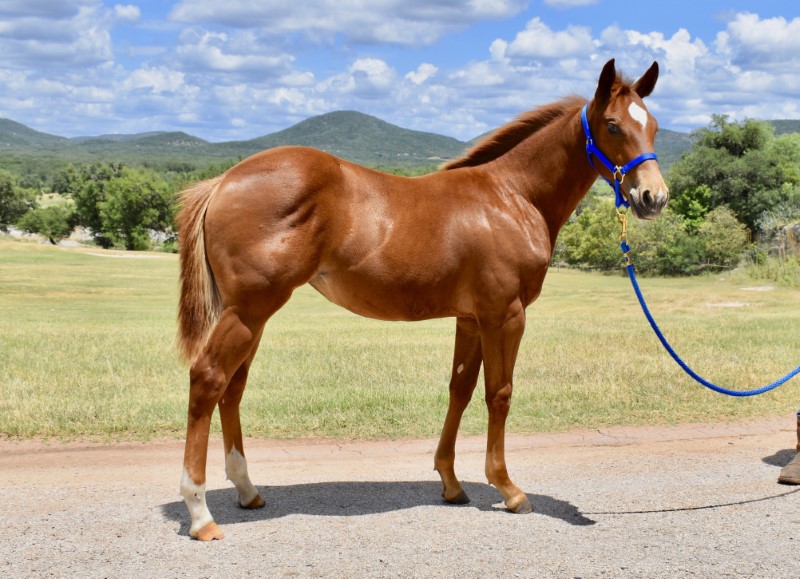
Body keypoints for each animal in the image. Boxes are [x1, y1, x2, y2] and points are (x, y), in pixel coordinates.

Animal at [177, 57, 668, 540]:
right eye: (612, 125)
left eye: (654, 126)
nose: (654, 197)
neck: (511, 197)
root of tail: (223, 181)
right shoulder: (504, 315)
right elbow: (499, 394)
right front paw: (508, 488)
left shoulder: (470, 319)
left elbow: (460, 390)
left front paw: (450, 482)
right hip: (249, 310)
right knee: (208, 379)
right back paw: (200, 513)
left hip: (252, 316)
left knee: (233, 388)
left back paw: (247, 490)